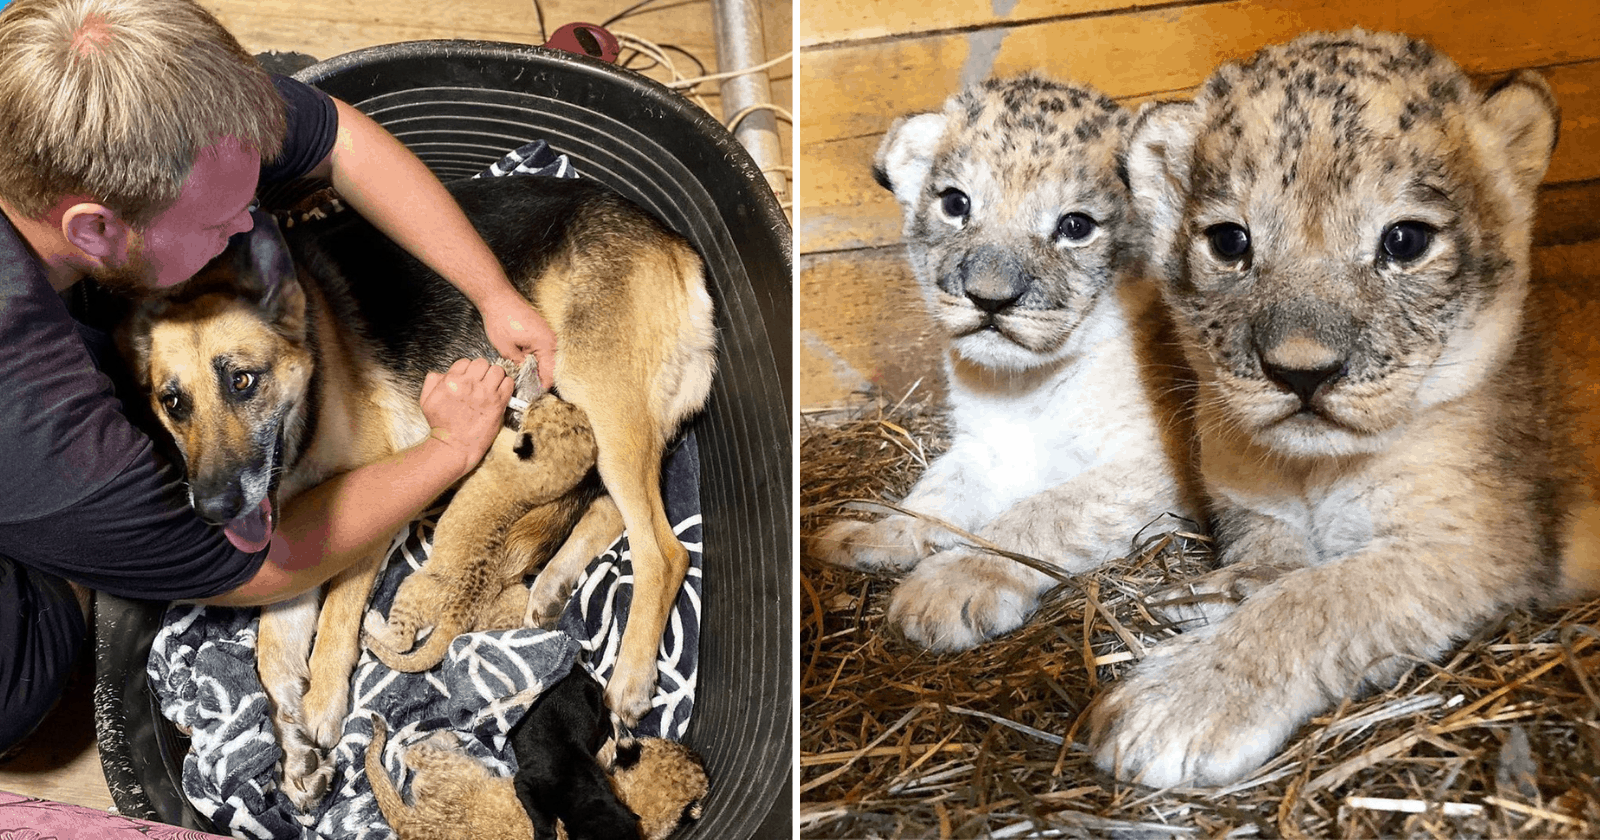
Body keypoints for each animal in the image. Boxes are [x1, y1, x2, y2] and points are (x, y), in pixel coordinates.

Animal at [123, 175, 720, 806]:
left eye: (242, 380)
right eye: (173, 402)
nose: (215, 509)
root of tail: (672, 241)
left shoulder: (369, 507)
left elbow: (336, 615)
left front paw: (322, 706)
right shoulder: (300, 551)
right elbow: (271, 656)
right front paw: (292, 753)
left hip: (602, 406)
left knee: (663, 550)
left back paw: (630, 677)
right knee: (611, 511)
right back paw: (554, 583)